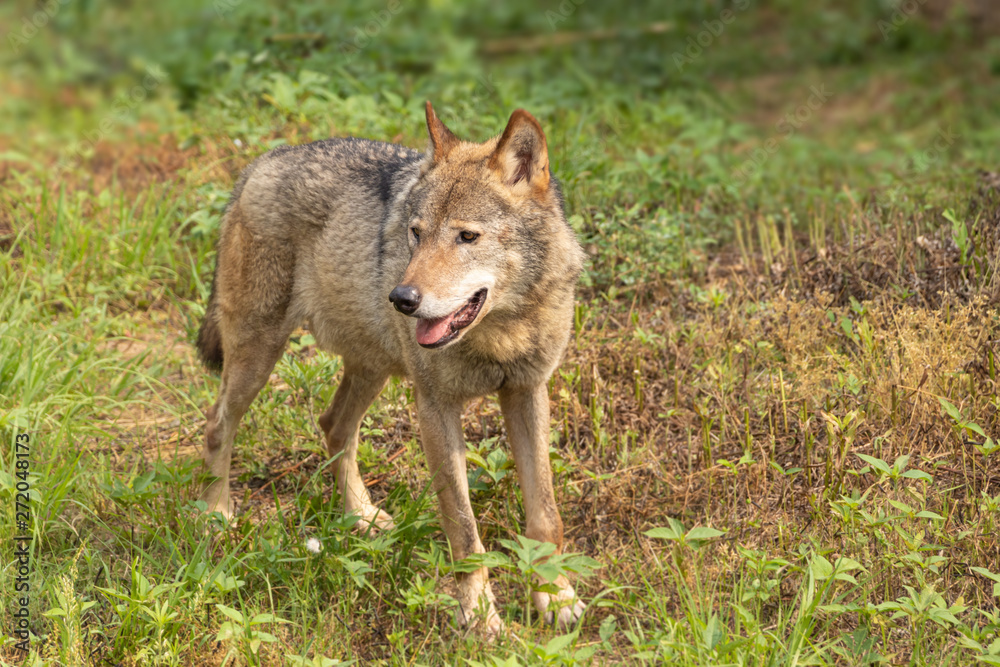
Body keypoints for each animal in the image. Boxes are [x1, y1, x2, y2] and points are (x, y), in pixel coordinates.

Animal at [195, 102, 584, 636]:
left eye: (467, 236)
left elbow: (545, 514)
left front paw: (555, 595)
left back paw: (360, 517)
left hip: (371, 368)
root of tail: (262, 161)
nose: (402, 298)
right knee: (218, 425)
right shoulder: (435, 408)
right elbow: (464, 529)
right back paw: (216, 514)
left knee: (333, 425)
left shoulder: (528, 392)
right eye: (416, 233)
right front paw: (480, 617)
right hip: (259, 357)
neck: (504, 329)